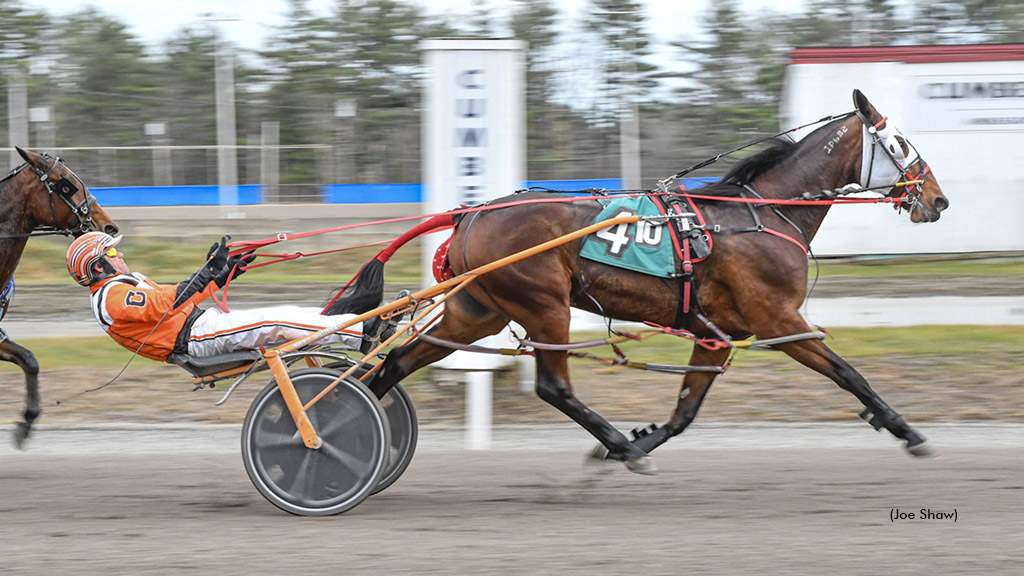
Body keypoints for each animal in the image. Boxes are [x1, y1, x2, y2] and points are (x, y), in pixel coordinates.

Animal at [331, 89, 946, 473]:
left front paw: (642, 437)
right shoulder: (778, 319)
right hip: (544, 304)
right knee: (553, 388)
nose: (937, 199)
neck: (761, 214)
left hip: (475, 312)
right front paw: (907, 431)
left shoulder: (716, 334)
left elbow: (685, 410)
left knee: (393, 365)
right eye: (900, 145)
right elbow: (848, 373)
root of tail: (471, 213)